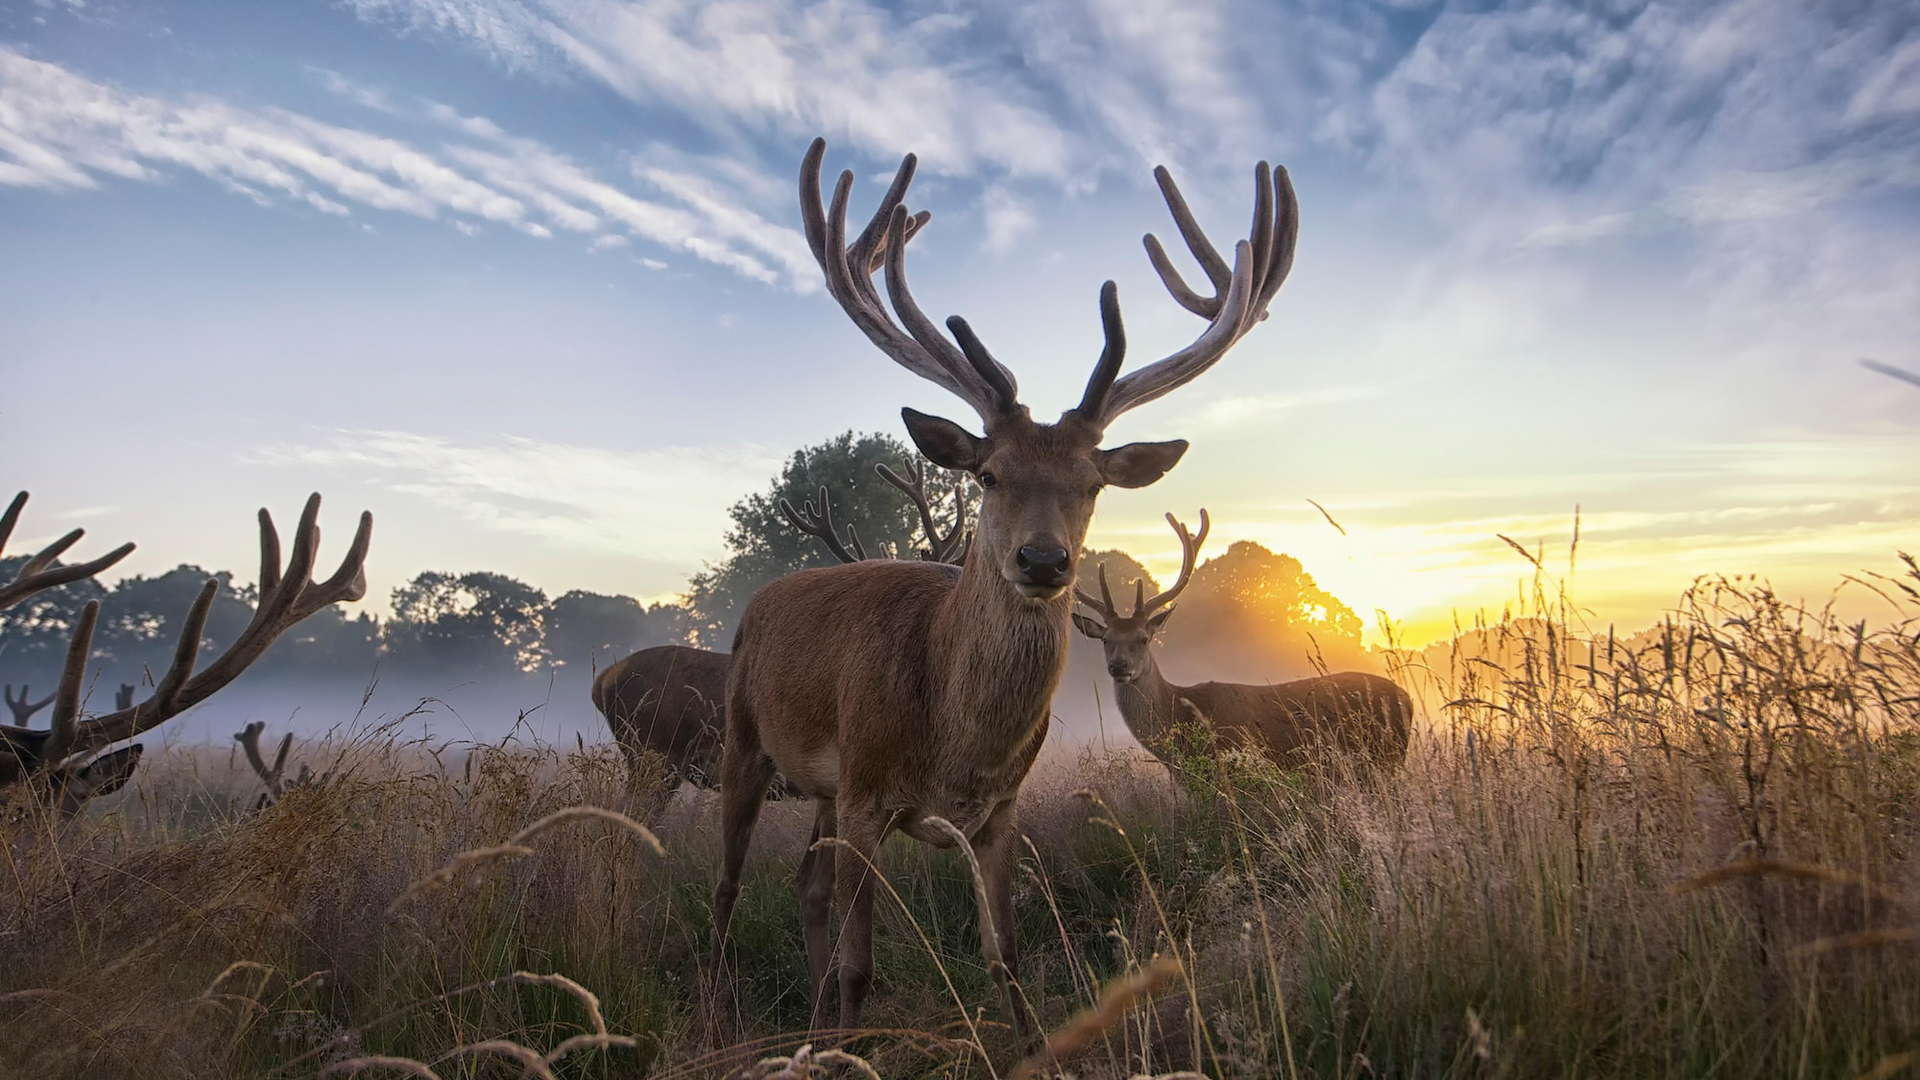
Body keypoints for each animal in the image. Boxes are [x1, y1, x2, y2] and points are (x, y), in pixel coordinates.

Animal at [714, 134, 1297, 1037]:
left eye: (1093, 483)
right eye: (987, 474)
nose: (1044, 562)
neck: (954, 742)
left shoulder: (998, 812)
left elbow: (1008, 960)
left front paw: (1022, 1044)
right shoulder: (867, 790)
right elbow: (860, 966)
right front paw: (851, 1034)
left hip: (819, 791)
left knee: (805, 886)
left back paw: (811, 1023)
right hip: (744, 739)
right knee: (728, 888)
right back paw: (731, 1009)